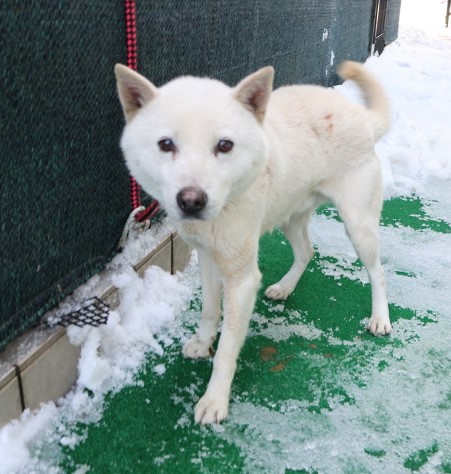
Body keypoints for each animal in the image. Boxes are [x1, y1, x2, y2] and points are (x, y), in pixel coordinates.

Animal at [114, 60, 392, 426]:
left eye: (225, 145)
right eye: (165, 144)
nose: (191, 201)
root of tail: (361, 116)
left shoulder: (242, 280)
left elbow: (227, 350)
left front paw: (214, 400)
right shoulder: (207, 258)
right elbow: (208, 311)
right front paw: (202, 344)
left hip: (358, 226)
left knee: (377, 272)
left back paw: (380, 318)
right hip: (291, 215)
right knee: (307, 251)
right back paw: (285, 287)